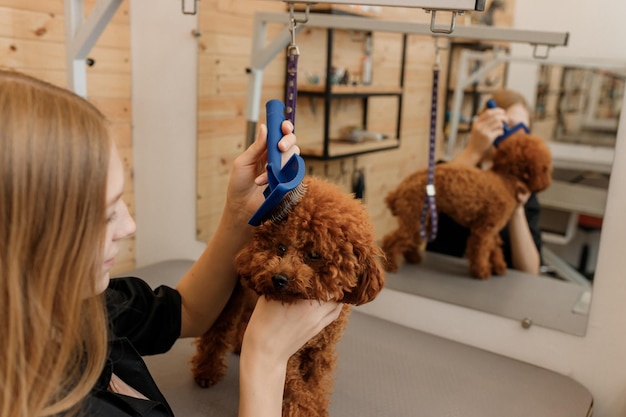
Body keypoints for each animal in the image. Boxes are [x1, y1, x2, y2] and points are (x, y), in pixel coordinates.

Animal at [193, 176, 382, 416]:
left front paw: (318, 405)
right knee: (217, 331)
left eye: (314, 255)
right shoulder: (287, 355)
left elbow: (314, 384)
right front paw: (308, 410)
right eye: (281, 247)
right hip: (231, 297)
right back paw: (206, 371)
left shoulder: (320, 352)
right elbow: (297, 392)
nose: (279, 279)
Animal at [380, 132, 552, 278]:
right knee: (392, 240)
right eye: (545, 168)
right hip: (414, 216)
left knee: (412, 239)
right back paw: (391, 265)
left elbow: (495, 247)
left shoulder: (492, 229)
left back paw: (413, 257)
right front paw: (482, 271)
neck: (505, 180)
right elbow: (481, 250)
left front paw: (499, 267)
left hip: (423, 219)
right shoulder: (484, 230)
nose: (547, 184)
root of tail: (400, 189)